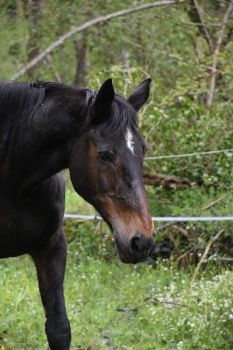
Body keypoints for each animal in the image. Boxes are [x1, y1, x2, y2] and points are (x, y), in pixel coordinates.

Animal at [0, 78, 155, 348]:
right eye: (105, 155)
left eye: (143, 150)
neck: (14, 185)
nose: (142, 240)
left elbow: (59, 329)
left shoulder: (51, 247)